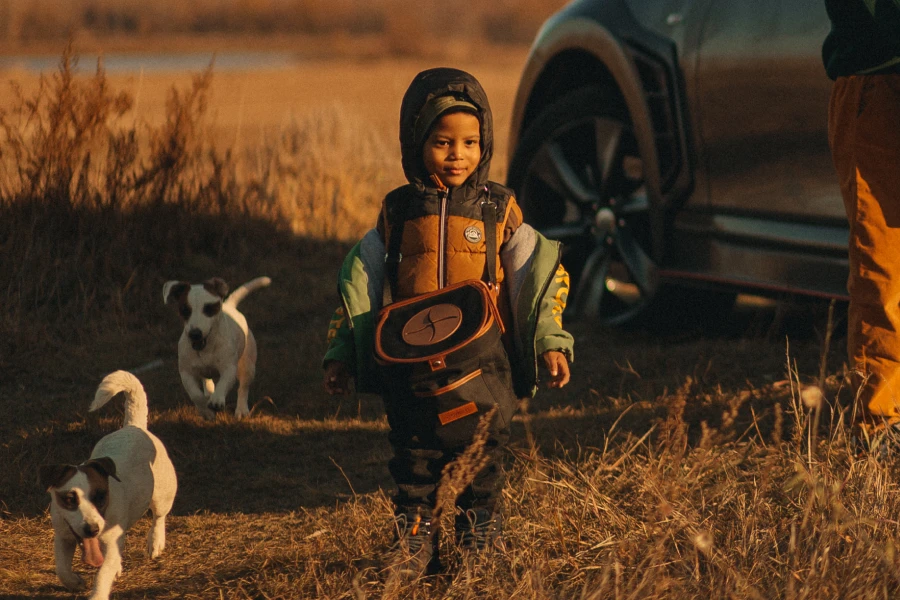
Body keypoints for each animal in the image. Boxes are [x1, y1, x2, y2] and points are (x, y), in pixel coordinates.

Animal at [39, 370, 178, 600]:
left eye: (101, 496)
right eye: (69, 499)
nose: (92, 529)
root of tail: (133, 426)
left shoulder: (111, 544)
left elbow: (102, 576)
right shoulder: (63, 536)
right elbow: (62, 569)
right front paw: (75, 582)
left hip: (161, 495)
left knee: (159, 517)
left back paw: (156, 541)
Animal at [163, 276, 270, 418]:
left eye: (208, 308)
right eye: (185, 310)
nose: (195, 334)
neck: (206, 347)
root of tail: (229, 306)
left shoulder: (229, 368)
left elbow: (223, 383)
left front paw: (217, 400)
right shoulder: (186, 372)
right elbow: (195, 394)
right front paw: (206, 411)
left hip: (248, 365)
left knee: (243, 388)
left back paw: (241, 409)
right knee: (206, 381)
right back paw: (209, 393)